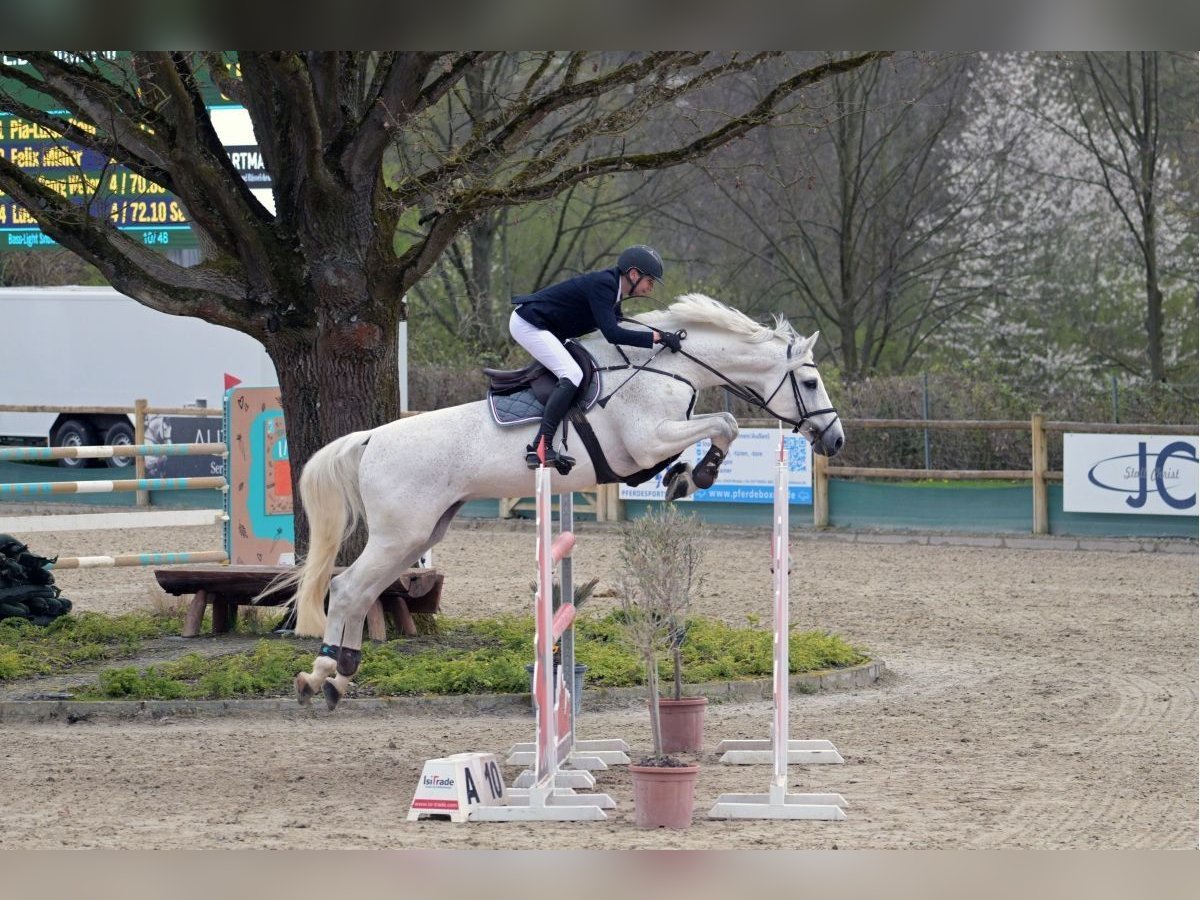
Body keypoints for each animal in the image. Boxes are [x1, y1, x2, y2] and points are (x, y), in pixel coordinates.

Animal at [280, 296, 844, 710]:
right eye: (810, 381)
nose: (834, 440)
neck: (667, 369)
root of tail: (371, 437)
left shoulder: (654, 443)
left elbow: (711, 433)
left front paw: (685, 476)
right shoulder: (648, 441)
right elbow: (723, 423)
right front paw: (696, 475)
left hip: (419, 535)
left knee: (360, 591)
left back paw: (337, 675)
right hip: (401, 534)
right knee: (348, 588)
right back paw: (322, 674)